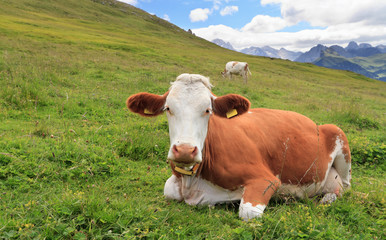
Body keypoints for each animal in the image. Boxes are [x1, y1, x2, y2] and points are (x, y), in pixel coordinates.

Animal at [126, 73, 350, 221]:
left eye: (207, 110)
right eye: (168, 108)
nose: (185, 150)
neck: (193, 184)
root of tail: (313, 122)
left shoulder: (266, 179)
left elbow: (247, 212)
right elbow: (168, 190)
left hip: (340, 137)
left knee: (344, 188)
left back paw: (326, 198)